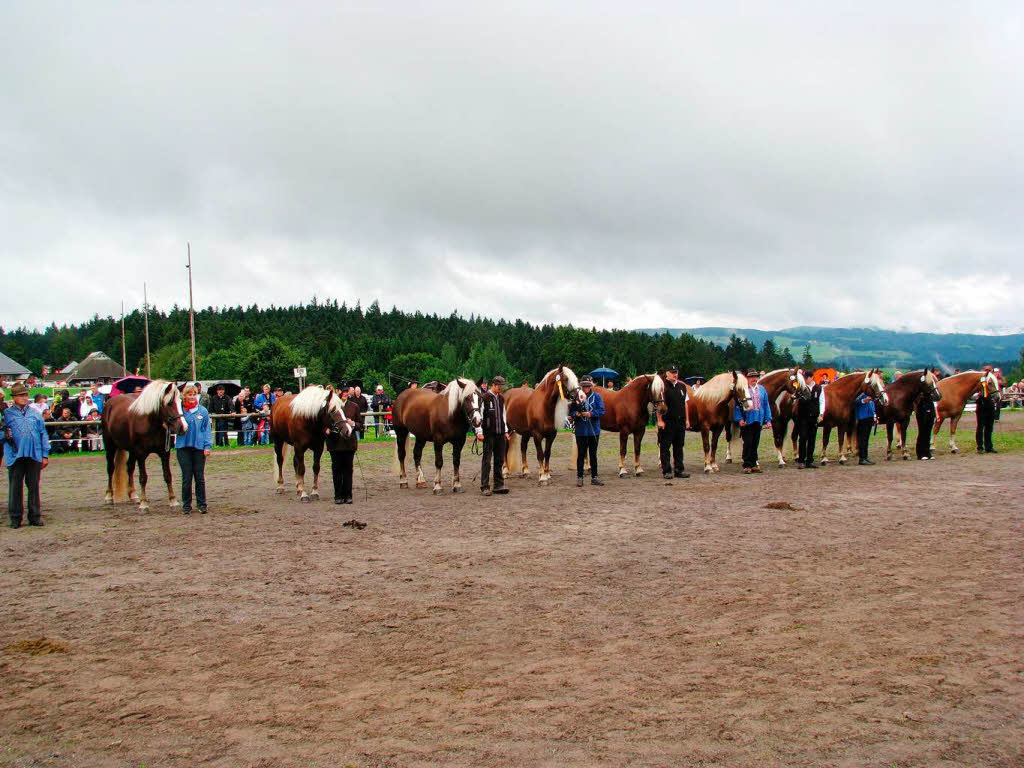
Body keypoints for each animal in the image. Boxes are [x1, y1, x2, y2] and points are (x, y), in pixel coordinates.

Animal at [101, 378, 188, 512]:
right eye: (169, 403)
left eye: (181, 403)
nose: (183, 428)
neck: (151, 423)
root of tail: (109, 403)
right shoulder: (141, 454)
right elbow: (143, 478)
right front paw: (144, 504)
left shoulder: (164, 453)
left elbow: (167, 475)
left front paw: (173, 500)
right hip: (110, 446)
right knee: (110, 468)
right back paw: (109, 497)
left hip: (131, 451)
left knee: (130, 468)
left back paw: (133, 495)